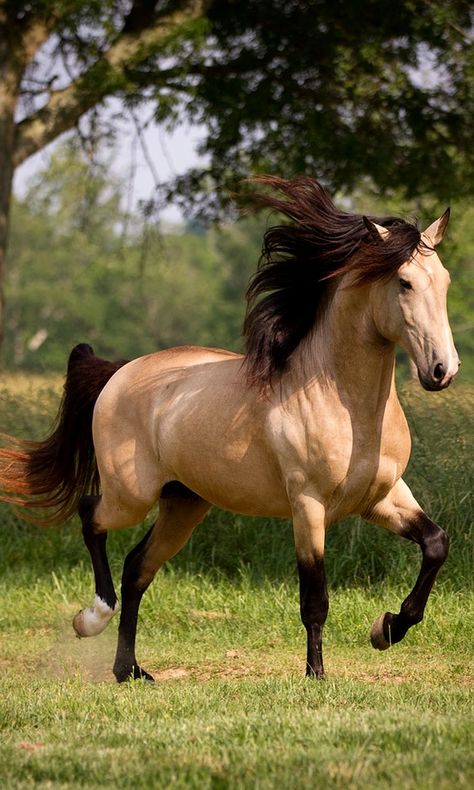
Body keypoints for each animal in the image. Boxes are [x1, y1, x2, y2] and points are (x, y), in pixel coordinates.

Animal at [0, 178, 460, 680]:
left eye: (446, 281)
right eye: (404, 282)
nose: (443, 371)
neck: (345, 405)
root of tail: (120, 372)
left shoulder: (383, 497)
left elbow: (436, 544)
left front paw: (387, 628)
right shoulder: (308, 507)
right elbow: (314, 600)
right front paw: (316, 675)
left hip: (183, 504)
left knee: (137, 567)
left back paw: (131, 670)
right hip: (131, 496)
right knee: (91, 515)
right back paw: (92, 619)